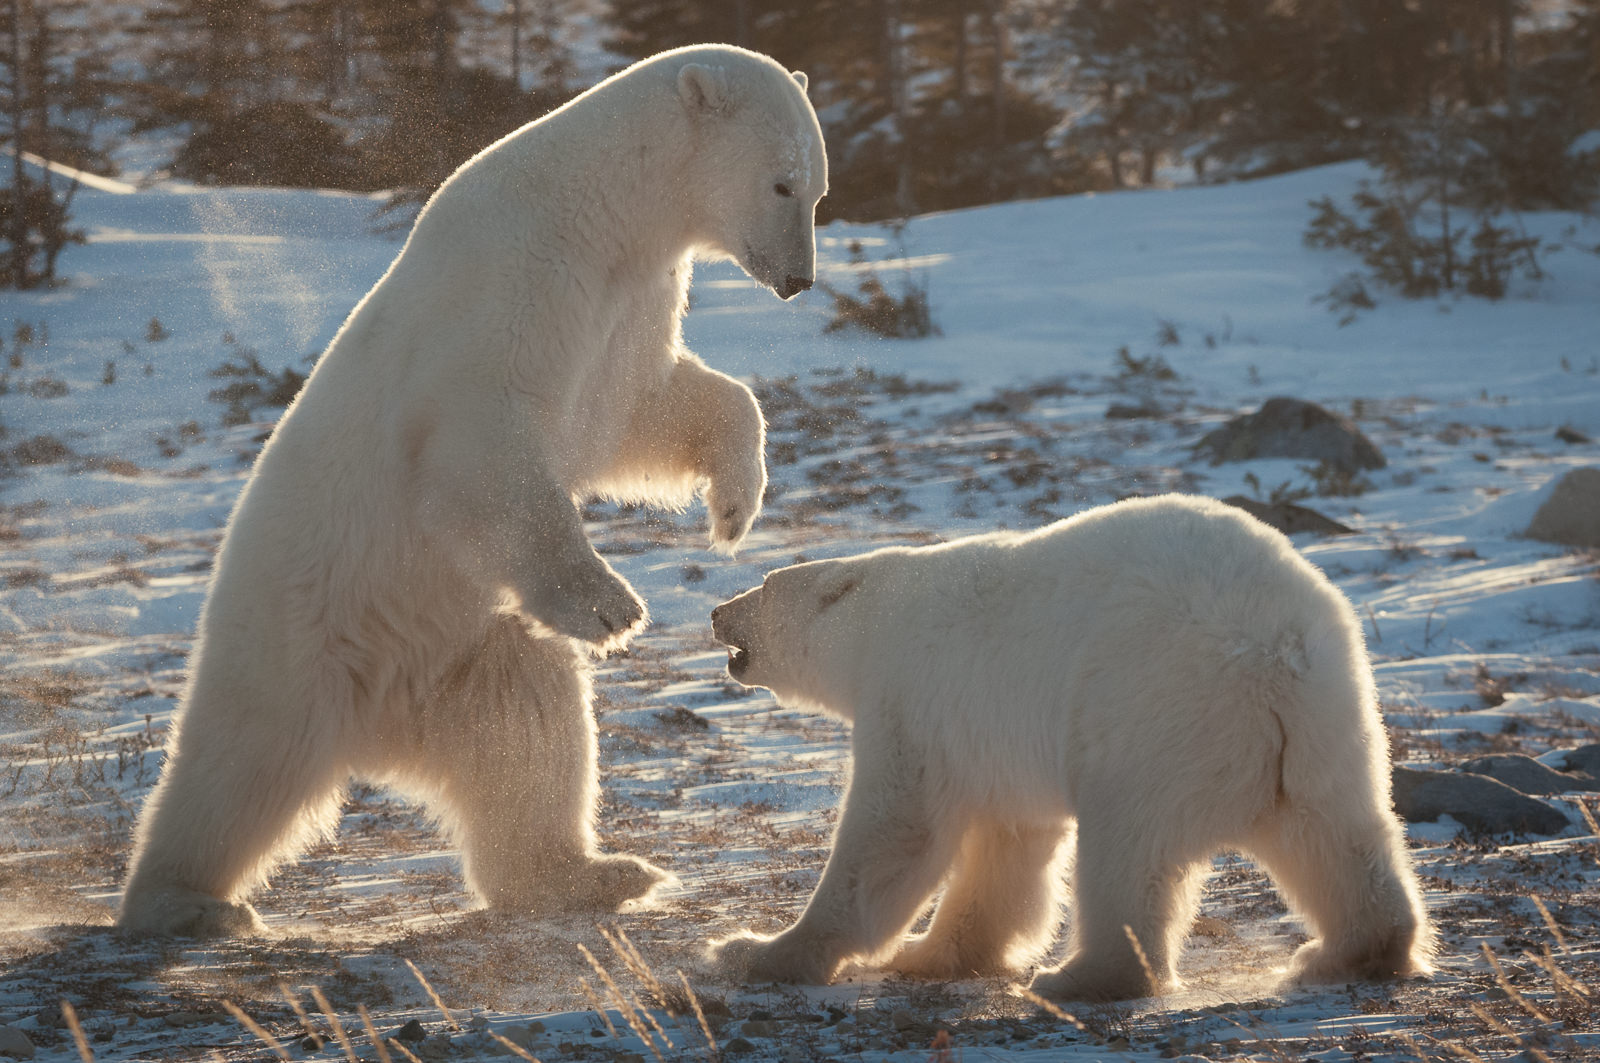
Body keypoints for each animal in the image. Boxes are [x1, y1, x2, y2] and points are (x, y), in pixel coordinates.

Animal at [117, 44, 828, 937]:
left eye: (819, 188)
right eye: (782, 184)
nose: (799, 280)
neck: (599, 213)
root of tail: (376, 722)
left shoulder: (627, 304)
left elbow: (638, 410)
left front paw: (734, 508)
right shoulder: (514, 290)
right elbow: (482, 446)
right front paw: (610, 605)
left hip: (467, 655)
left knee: (529, 734)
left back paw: (597, 872)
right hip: (292, 635)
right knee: (238, 769)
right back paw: (186, 900)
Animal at [706, 494, 1433, 1000]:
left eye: (764, 587)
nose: (716, 612)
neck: (877, 620)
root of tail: (1271, 650)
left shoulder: (915, 696)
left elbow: (894, 832)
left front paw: (757, 949)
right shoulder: (987, 734)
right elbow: (1008, 847)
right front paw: (930, 951)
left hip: (1153, 710)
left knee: (1126, 850)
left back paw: (1081, 975)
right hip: (1328, 722)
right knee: (1337, 833)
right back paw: (1351, 950)